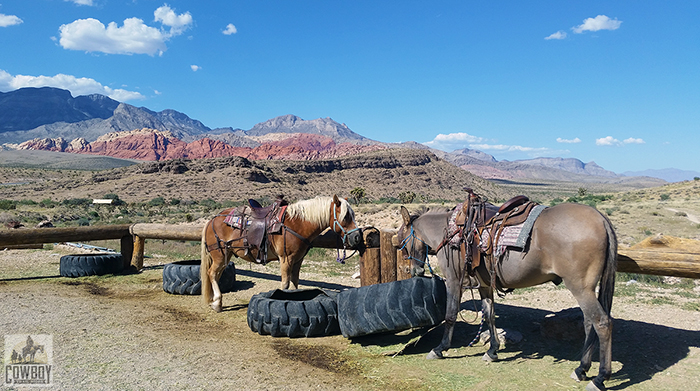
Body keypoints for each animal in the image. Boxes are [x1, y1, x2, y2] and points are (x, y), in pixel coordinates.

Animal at [200, 196, 358, 312]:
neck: (297, 224)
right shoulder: (286, 259)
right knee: (212, 274)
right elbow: (285, 284)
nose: (356, 236)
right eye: (345, 216)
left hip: (225, 256)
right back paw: (217, 304)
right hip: (219, 255)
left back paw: (214, 301)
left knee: (216, 275)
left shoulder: (298, 260)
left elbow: (295, 283)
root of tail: (212, 219)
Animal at [400, 199, 616, 391]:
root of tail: (600, 218)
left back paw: (600, 378)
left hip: (581, 287)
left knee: (602, 323)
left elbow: (451, 315)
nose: (416, 271)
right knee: (589, 323)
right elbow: (489, 316)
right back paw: (581, 369)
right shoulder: (485, 286)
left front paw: (440, 349)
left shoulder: (454, 281)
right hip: (586, 290)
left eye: (402, 239)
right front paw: (492, 351)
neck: (451, 232)